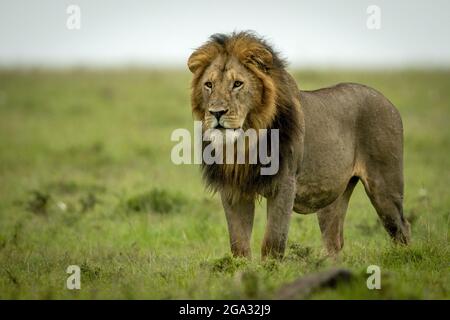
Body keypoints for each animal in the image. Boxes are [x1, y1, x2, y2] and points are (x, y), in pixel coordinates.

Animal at [186, 30, 412, 260]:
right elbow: (238, 244)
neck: (244, 141)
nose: (216, 112)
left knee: (401, 227)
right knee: (334, 240)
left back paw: (405, 257)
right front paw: (240, 267)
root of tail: (387, 101)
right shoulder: (234, 189)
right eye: (209, 85)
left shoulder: (284, 183)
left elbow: (273, 241)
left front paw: (270, 267)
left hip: (384, 186)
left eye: (238, 84)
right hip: (334, 194)